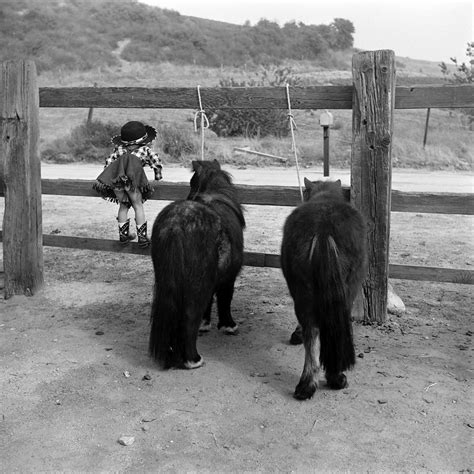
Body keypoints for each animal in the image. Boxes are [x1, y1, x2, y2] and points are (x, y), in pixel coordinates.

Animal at [148, 159, 244, 370]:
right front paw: (229, 325)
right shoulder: (228, 278)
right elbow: (225, 300)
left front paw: (206, 324)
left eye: (191, 182)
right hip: (198, 284)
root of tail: (176, 224)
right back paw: (193, 359)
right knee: (190, 316)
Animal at [282, 178, 366, 400]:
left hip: (302, 291)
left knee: (311, 331)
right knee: (319, 332)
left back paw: (306, 385)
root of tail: (323, 228)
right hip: (346, 291)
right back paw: (333, 378)